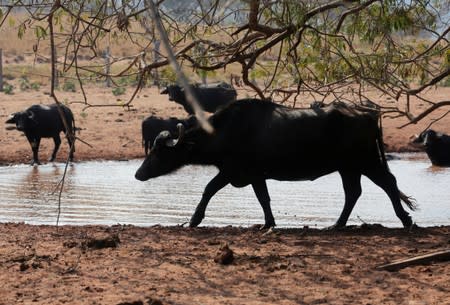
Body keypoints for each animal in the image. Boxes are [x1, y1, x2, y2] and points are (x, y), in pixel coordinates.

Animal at [135, 97, 416, 228]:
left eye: (159, 153)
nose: (138, 174)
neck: (226, 131)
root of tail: (368, 115)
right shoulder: (256, 176)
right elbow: (264, 198)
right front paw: (269, 223)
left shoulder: (232, 171)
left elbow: (208, 189)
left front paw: (194, 219)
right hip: (349, 168)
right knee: (353, 192)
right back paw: (337, 224)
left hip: (365, 162)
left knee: (388, 183)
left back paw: (405, 219)